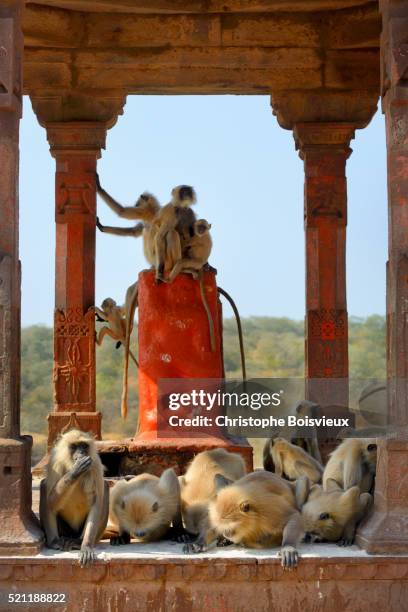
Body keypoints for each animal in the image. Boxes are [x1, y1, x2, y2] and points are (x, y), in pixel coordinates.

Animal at [39, 428, 108, 568]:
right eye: (74, 446)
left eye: (83, 446)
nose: (81, 453)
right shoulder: (55, 462)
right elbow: (51, 502)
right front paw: (75, 472)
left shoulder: (95, 463)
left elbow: (96, 504)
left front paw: (86, 547)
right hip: (65, 530)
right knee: (44, 487)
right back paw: (54, 541)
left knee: (106, 487)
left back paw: (78, 542)